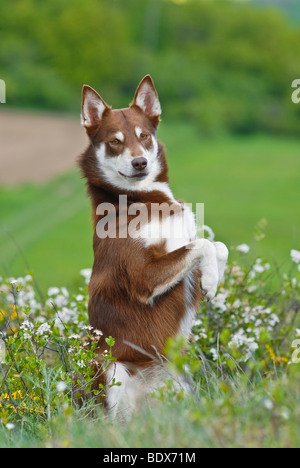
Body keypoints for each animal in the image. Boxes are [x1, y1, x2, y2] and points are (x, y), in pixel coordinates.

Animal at [78, 77, 229, 416]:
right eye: (115, 141)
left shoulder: (182, 246)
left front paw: (213, 281)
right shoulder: (143, 277)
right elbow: (203, 244)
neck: (138, 199)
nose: (140, 162)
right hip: (111, 369)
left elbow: (218, 246)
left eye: (144, 136)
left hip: (179, 383)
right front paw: (211, 279)